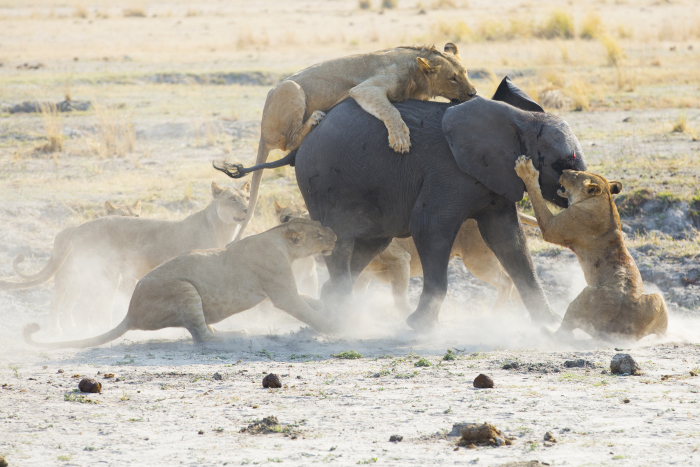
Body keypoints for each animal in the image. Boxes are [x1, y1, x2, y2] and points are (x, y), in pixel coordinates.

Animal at [1, 181, 249, 334]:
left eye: (246, 197)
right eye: (232, 199)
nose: (248, 209)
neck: (222, 228)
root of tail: (80, 228)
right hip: (96, 274)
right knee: (74, 305)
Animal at [23, 218, 336, 348]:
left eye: (320, 225)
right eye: (319, 235)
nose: (334, 235)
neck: (278, 238)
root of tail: (130, 313)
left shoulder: (284, 288)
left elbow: (309, 300)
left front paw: (328, 305)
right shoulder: (282, 292)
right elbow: (305, 310)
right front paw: (339, 326)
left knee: (202, 329)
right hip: (184, 289)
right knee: (202, 336)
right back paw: (238, 334)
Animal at [211, 43, 478, 241]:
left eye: (466, 72)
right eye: (452, 78)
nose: (473, 93)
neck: (416, 71)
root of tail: (262, 131)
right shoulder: (367, 88)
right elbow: (390, 111)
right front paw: (400, 138)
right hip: (291, 88)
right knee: (288, 142)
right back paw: (315, 118)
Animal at [516, 155, 668, 342]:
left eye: (575, 175)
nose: (563, 171)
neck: (605, 200)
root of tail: (616, 332)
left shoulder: (552, 228)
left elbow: (536, 195)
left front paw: (526, 170)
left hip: (587, 293)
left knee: (563, 332)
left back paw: (547, 330)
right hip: (658, 299)